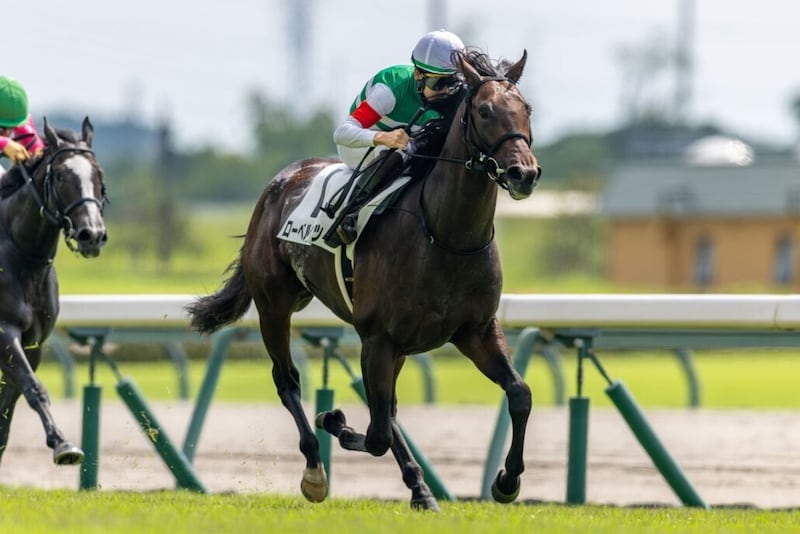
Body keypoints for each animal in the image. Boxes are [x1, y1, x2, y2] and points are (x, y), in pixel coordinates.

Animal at [0, 117, 107, 468]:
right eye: (60, 175)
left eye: (98, 175)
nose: (92, 235)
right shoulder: (4, 332)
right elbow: (35, 388)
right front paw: (63, 445)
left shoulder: (34, 342)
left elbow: (11, 403)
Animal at [187, 49, 541, 510]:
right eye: (483, 110)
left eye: (526, 108)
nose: (524, 174)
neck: (444, 235)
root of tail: (281, 181)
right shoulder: (376, 339)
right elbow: (374, 434)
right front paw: (333, 419)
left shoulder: (475, 331)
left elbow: (519, 394)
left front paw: (507, 480)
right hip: (274, 307)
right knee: (289, 383)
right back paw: (315, 471)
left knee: (387, 412)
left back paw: (420, 489)